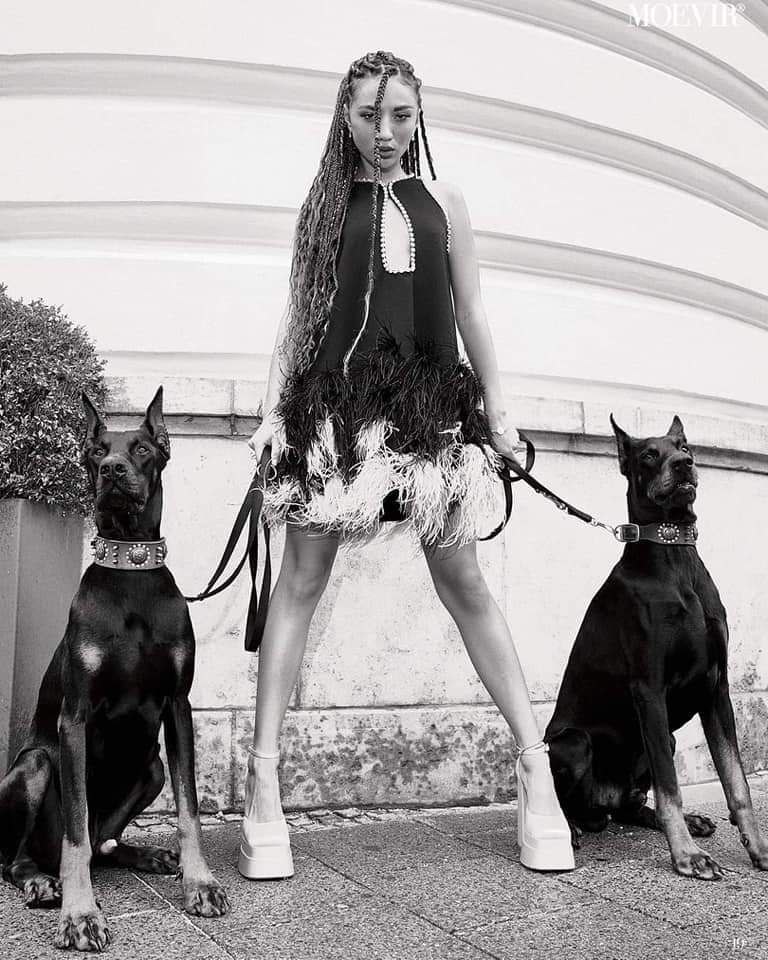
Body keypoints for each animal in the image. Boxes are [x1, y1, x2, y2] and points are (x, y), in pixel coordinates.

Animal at [0, 387, 229, 951]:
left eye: (142, 448)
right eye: (96, 450)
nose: (112, 470)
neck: (132, 576)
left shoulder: (178, 707)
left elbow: (189, 810)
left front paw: (201, 883)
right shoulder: (75, 718)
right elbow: (76, 832)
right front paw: (80, 914)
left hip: (151, 767)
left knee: (106, 840)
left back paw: (148, 855)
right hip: (35, 764)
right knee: (26, 857)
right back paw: (42, 882)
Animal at [545, 414, 768, 880]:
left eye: (685, 447)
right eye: (649, 454)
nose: (684, 465)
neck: (675, 557)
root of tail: (604, 800)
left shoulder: (717, 689)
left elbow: (736, 780)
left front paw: (757, 847)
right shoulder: (649, 690)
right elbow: (670, 787)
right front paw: (686, 857)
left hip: (666, 737)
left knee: (629, 807)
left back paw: (689, 820)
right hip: (574, 743)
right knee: (572, 801)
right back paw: (569, 829)